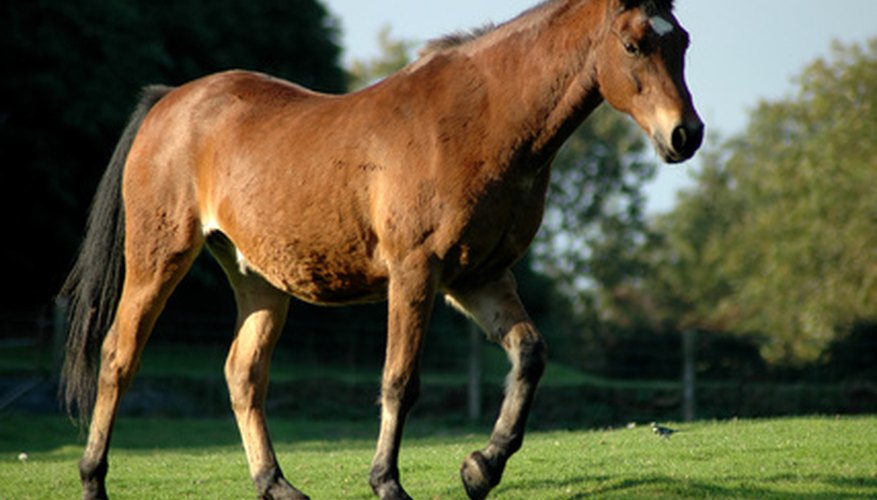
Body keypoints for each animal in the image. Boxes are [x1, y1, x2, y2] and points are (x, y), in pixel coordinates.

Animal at [60, 0, 704, 500]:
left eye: (683, 41)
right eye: (633, 44)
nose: (685, 134)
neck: (482, 121)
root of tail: (170, 101)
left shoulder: (480, 278)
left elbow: (529, 355)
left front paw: (481, 468)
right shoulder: (416, 272)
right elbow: (400, 379)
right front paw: (388, 481)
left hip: (258, 279)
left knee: (244, 373)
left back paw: (276, 483)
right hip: (159, 258)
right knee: (118, 357)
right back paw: (92, 479)